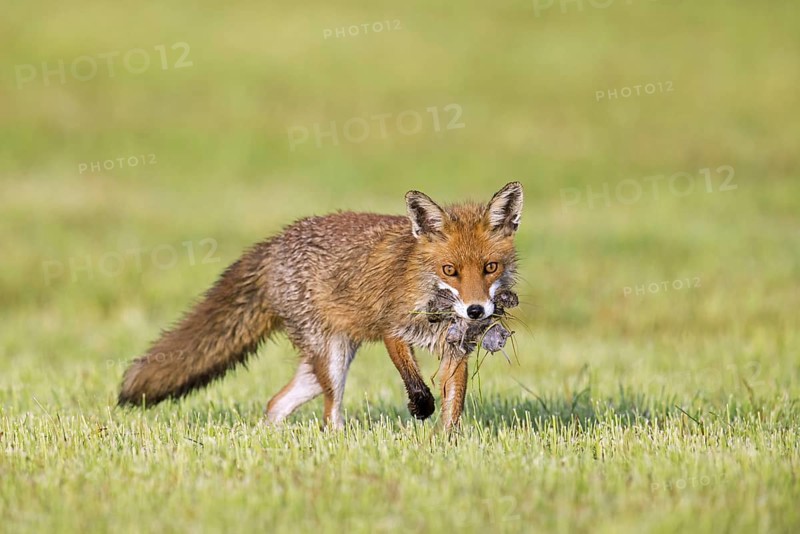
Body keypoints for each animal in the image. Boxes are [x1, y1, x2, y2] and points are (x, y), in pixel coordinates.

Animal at [118, 182, 523, 431]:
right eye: (450, 270)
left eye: (490, 267)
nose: (476, 311)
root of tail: (274, 242)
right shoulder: (391, 330)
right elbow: (415, 383)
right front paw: (420, 408)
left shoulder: (456, 350)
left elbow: (454, 406)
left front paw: (445, 443)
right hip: (331, 359)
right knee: (329, 415)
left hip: (324, 365)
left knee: (276, 403)